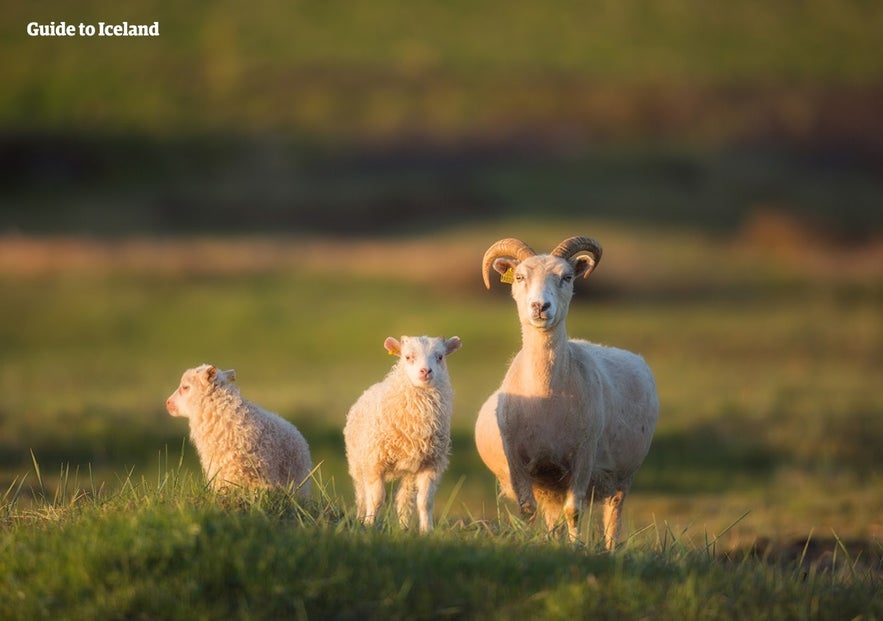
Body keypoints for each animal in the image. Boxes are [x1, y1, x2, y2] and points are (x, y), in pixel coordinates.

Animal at [344, 334, 462, 532]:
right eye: (407, 357)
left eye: (440, 357)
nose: (425, 371)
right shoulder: (374, 461)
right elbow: (375, 499)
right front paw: (368, 525)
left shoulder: (431, 464)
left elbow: (425, 502)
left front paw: (427, 531)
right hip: (357, 461)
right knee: (361, 495)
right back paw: (361, 517)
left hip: (408, 472)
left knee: (404, 499)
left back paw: (403, 527)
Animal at [476, 236, 656, 548]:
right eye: (519, 277)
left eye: (567, 277)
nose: (540, 306)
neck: (546, 397)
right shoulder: (517, 459)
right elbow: (527, 510)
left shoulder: (583, 456)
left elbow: (574, 511)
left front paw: (575, 548)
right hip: (550, 481)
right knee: (552, 514)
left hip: (622, 475)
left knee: (613, 515)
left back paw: (610, 549)